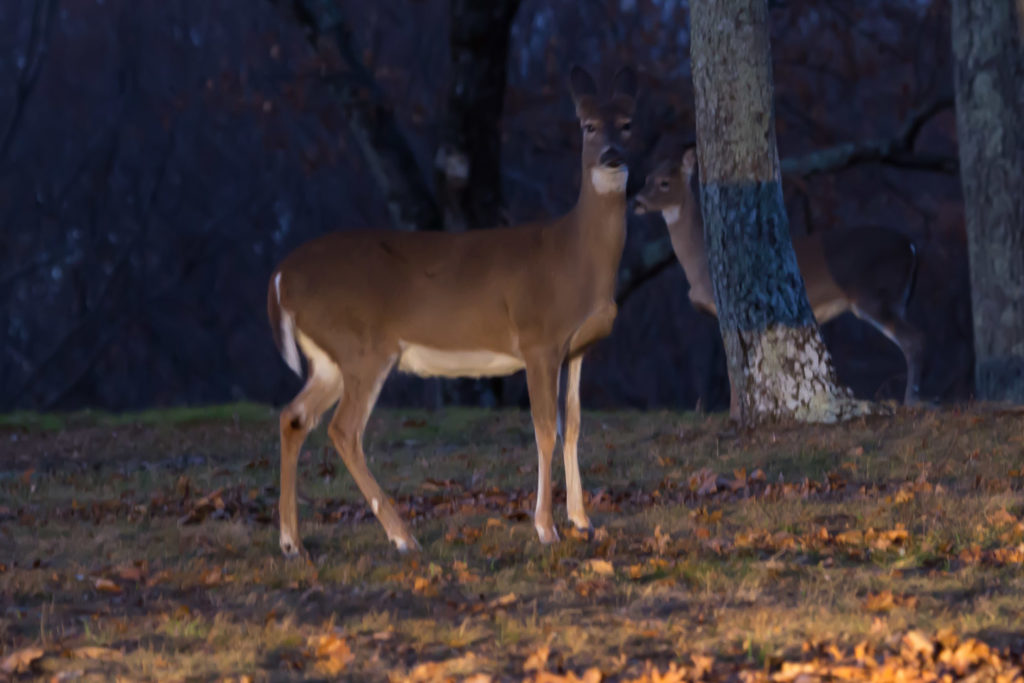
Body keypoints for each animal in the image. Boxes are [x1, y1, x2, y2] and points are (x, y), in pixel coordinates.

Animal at [268, 66, 634, 557]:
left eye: (628, 124)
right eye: (588, 126)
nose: (613, 157)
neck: (574, 256)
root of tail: (280, 277)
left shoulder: (576, 348)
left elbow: (573, 423)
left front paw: (582, 519)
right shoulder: (538, 338)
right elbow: (544, 427)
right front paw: (545, 527)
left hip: (329, 357)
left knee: (294, 417)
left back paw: (292, 541)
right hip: (362, 346)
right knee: (344, 430)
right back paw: (402, 536)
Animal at [634, 146, 925, 409]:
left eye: (664, 182)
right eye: (647, 177)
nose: (636, 201)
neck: (700, 265)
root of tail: (911, 246)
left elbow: (735, 366)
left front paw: (737, 411)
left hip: (874, 294)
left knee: (914, 340)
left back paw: (911, 401)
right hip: (895, 299)